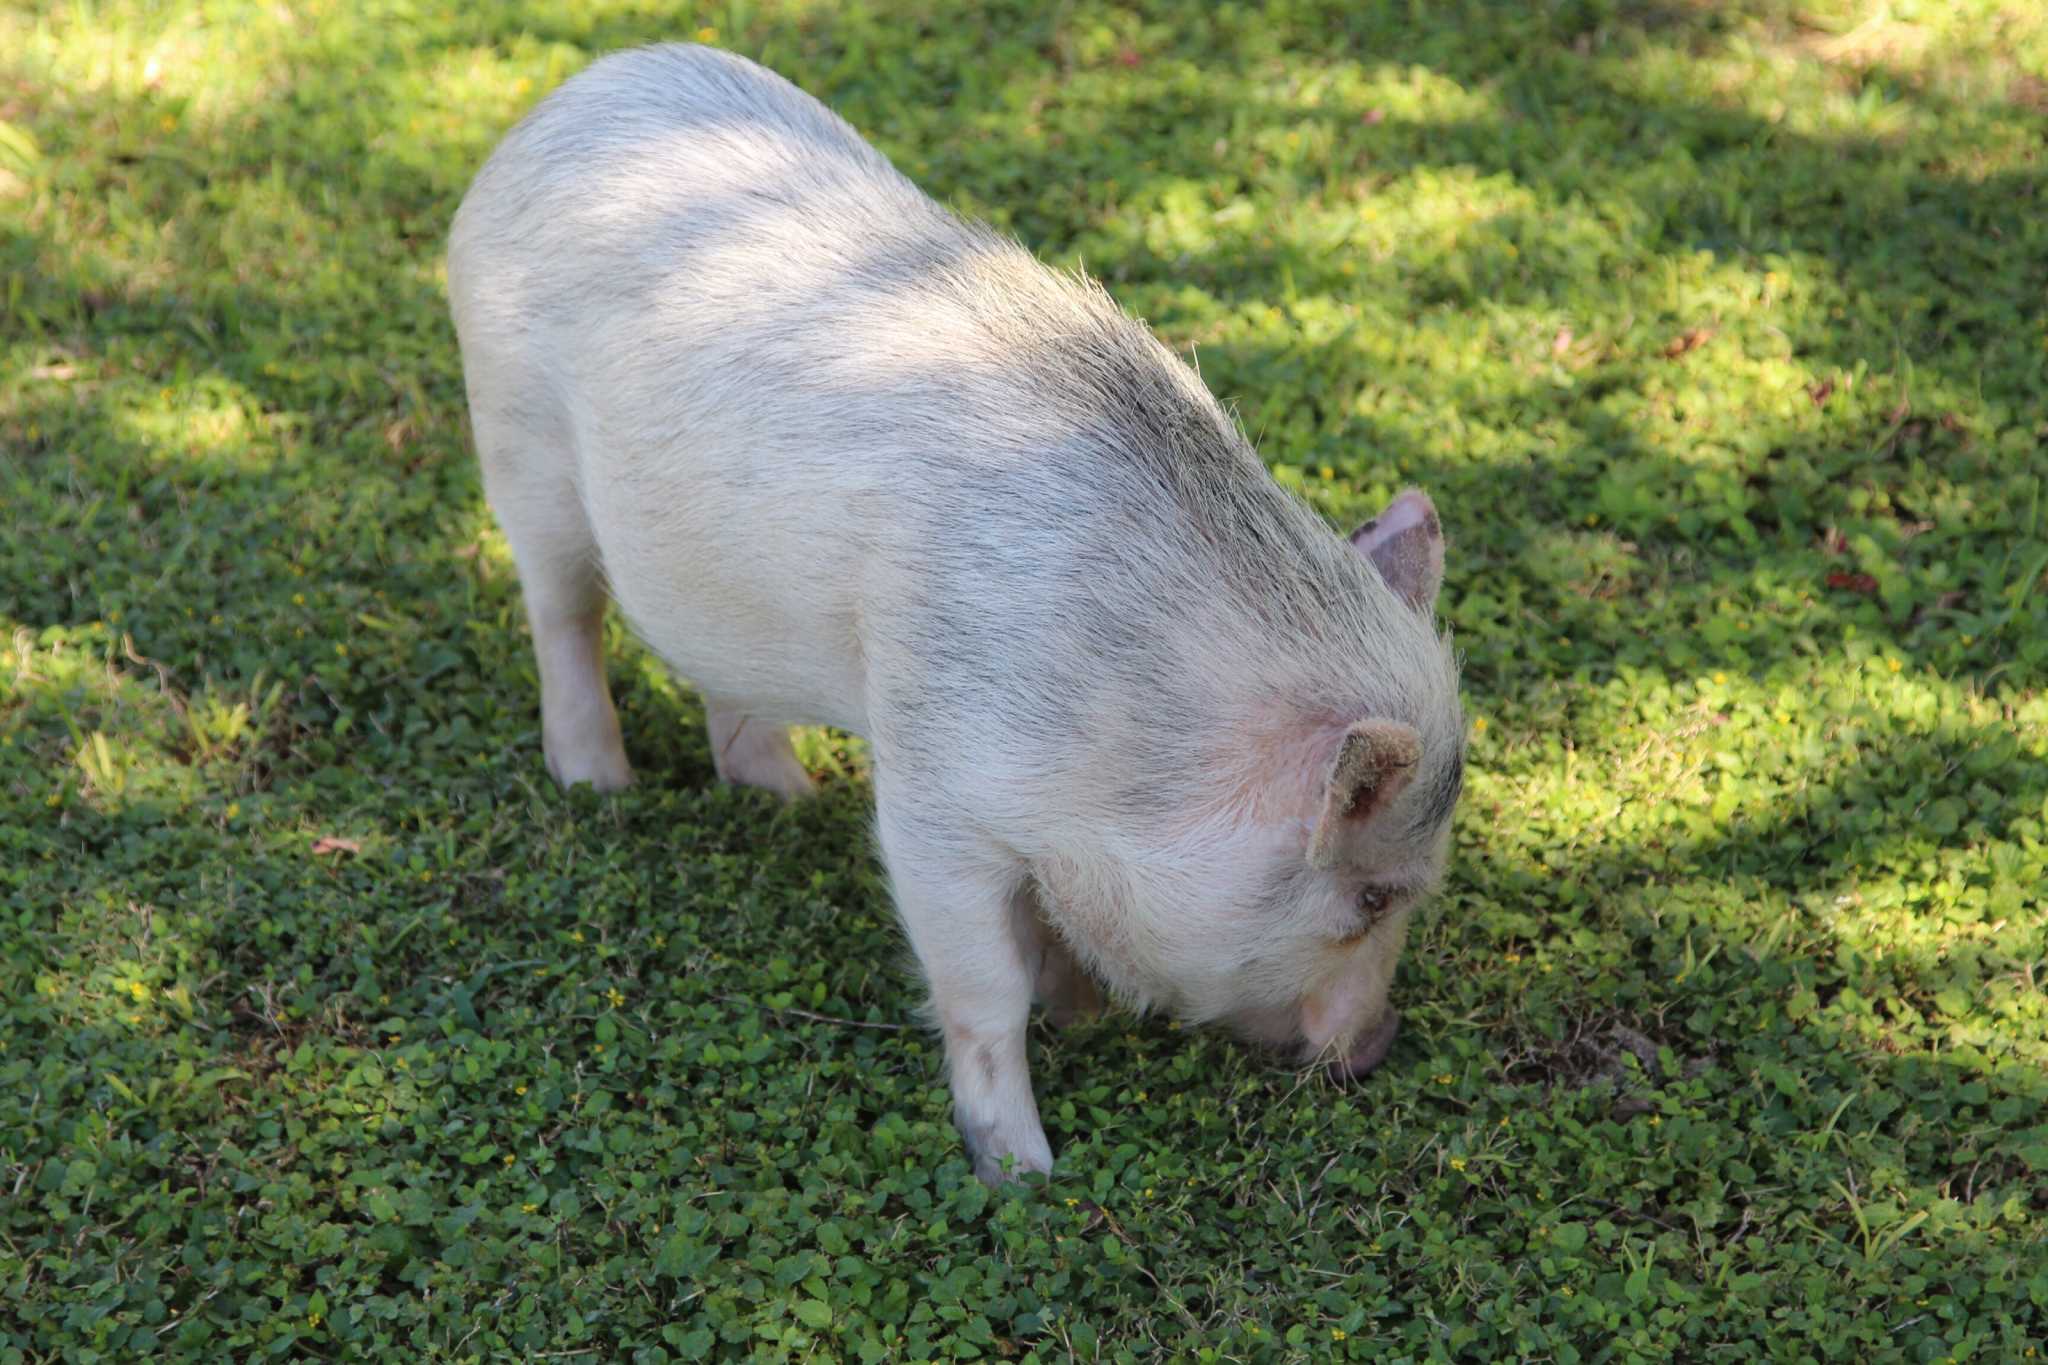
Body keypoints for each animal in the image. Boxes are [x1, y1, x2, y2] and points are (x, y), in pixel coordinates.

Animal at [452, 45, 1474, 1186]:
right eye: (1372, 898)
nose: (1376, 1048)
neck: (1132, 743)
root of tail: (575, 93)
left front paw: (1076, 1014)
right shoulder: (933, 795)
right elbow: (984, 985)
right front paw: (1025, 1174)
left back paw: (785, 798)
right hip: (516, 439)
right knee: (562, 613)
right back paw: (600, 787)